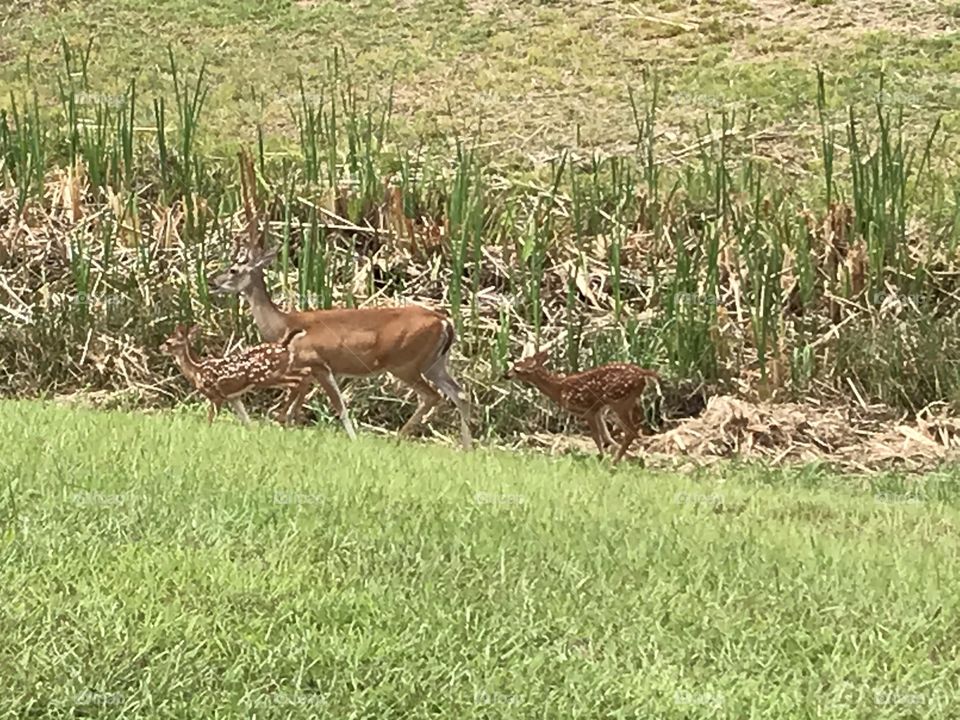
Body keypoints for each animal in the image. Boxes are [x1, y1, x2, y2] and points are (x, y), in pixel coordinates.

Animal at [160, 323, 314, 426]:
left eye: (168, 342)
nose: (160, 348)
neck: (196, 370)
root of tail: (283, 346)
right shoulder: (233, 397)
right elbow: (247, 421)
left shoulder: (216, 395)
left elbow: (210, 420)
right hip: (282, 370)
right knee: (306, 374)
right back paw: (292, 415)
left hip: (266, 376)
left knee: (297, 381)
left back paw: (282, 416)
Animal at [505, 350, 660, 464]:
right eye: (515, 364)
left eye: (517, 369)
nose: (505, 375)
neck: (559, 389)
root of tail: (643, 374)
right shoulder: (598, 411)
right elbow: (606, 435)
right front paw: (628, 456)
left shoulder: (587, 409)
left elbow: (596, 436)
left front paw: (603, 457)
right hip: (627, 401)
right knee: (634, 428)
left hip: (619, 401)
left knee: (631, 431)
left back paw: (614, 462)